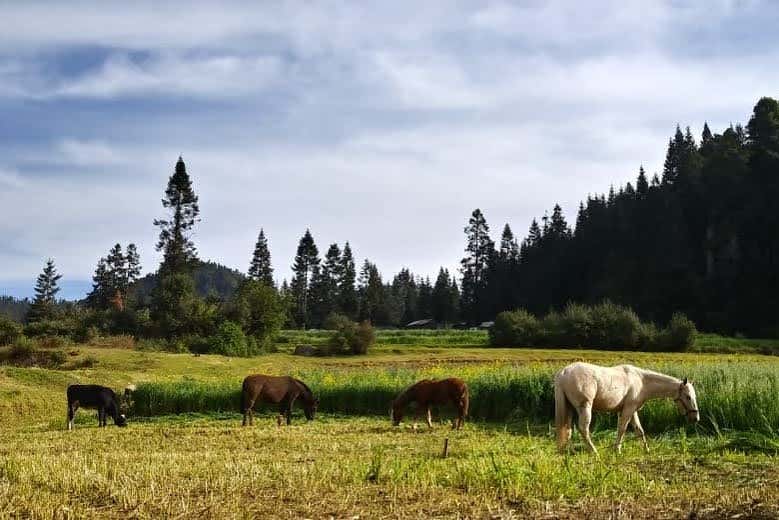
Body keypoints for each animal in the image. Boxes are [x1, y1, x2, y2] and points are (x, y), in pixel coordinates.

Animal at [554, 362, 700, 454]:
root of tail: (564, 373)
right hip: (585, 408)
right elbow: (622, 429)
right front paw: (617, 450)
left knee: (567, 429)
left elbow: (639, 431)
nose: (696, 418)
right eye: (688, 397)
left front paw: (646, 450)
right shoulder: (628, 410)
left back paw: (569, 451)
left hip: (569, 408)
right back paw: (594, 451)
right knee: (583, 429)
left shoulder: (633, 410)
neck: (642, 381)